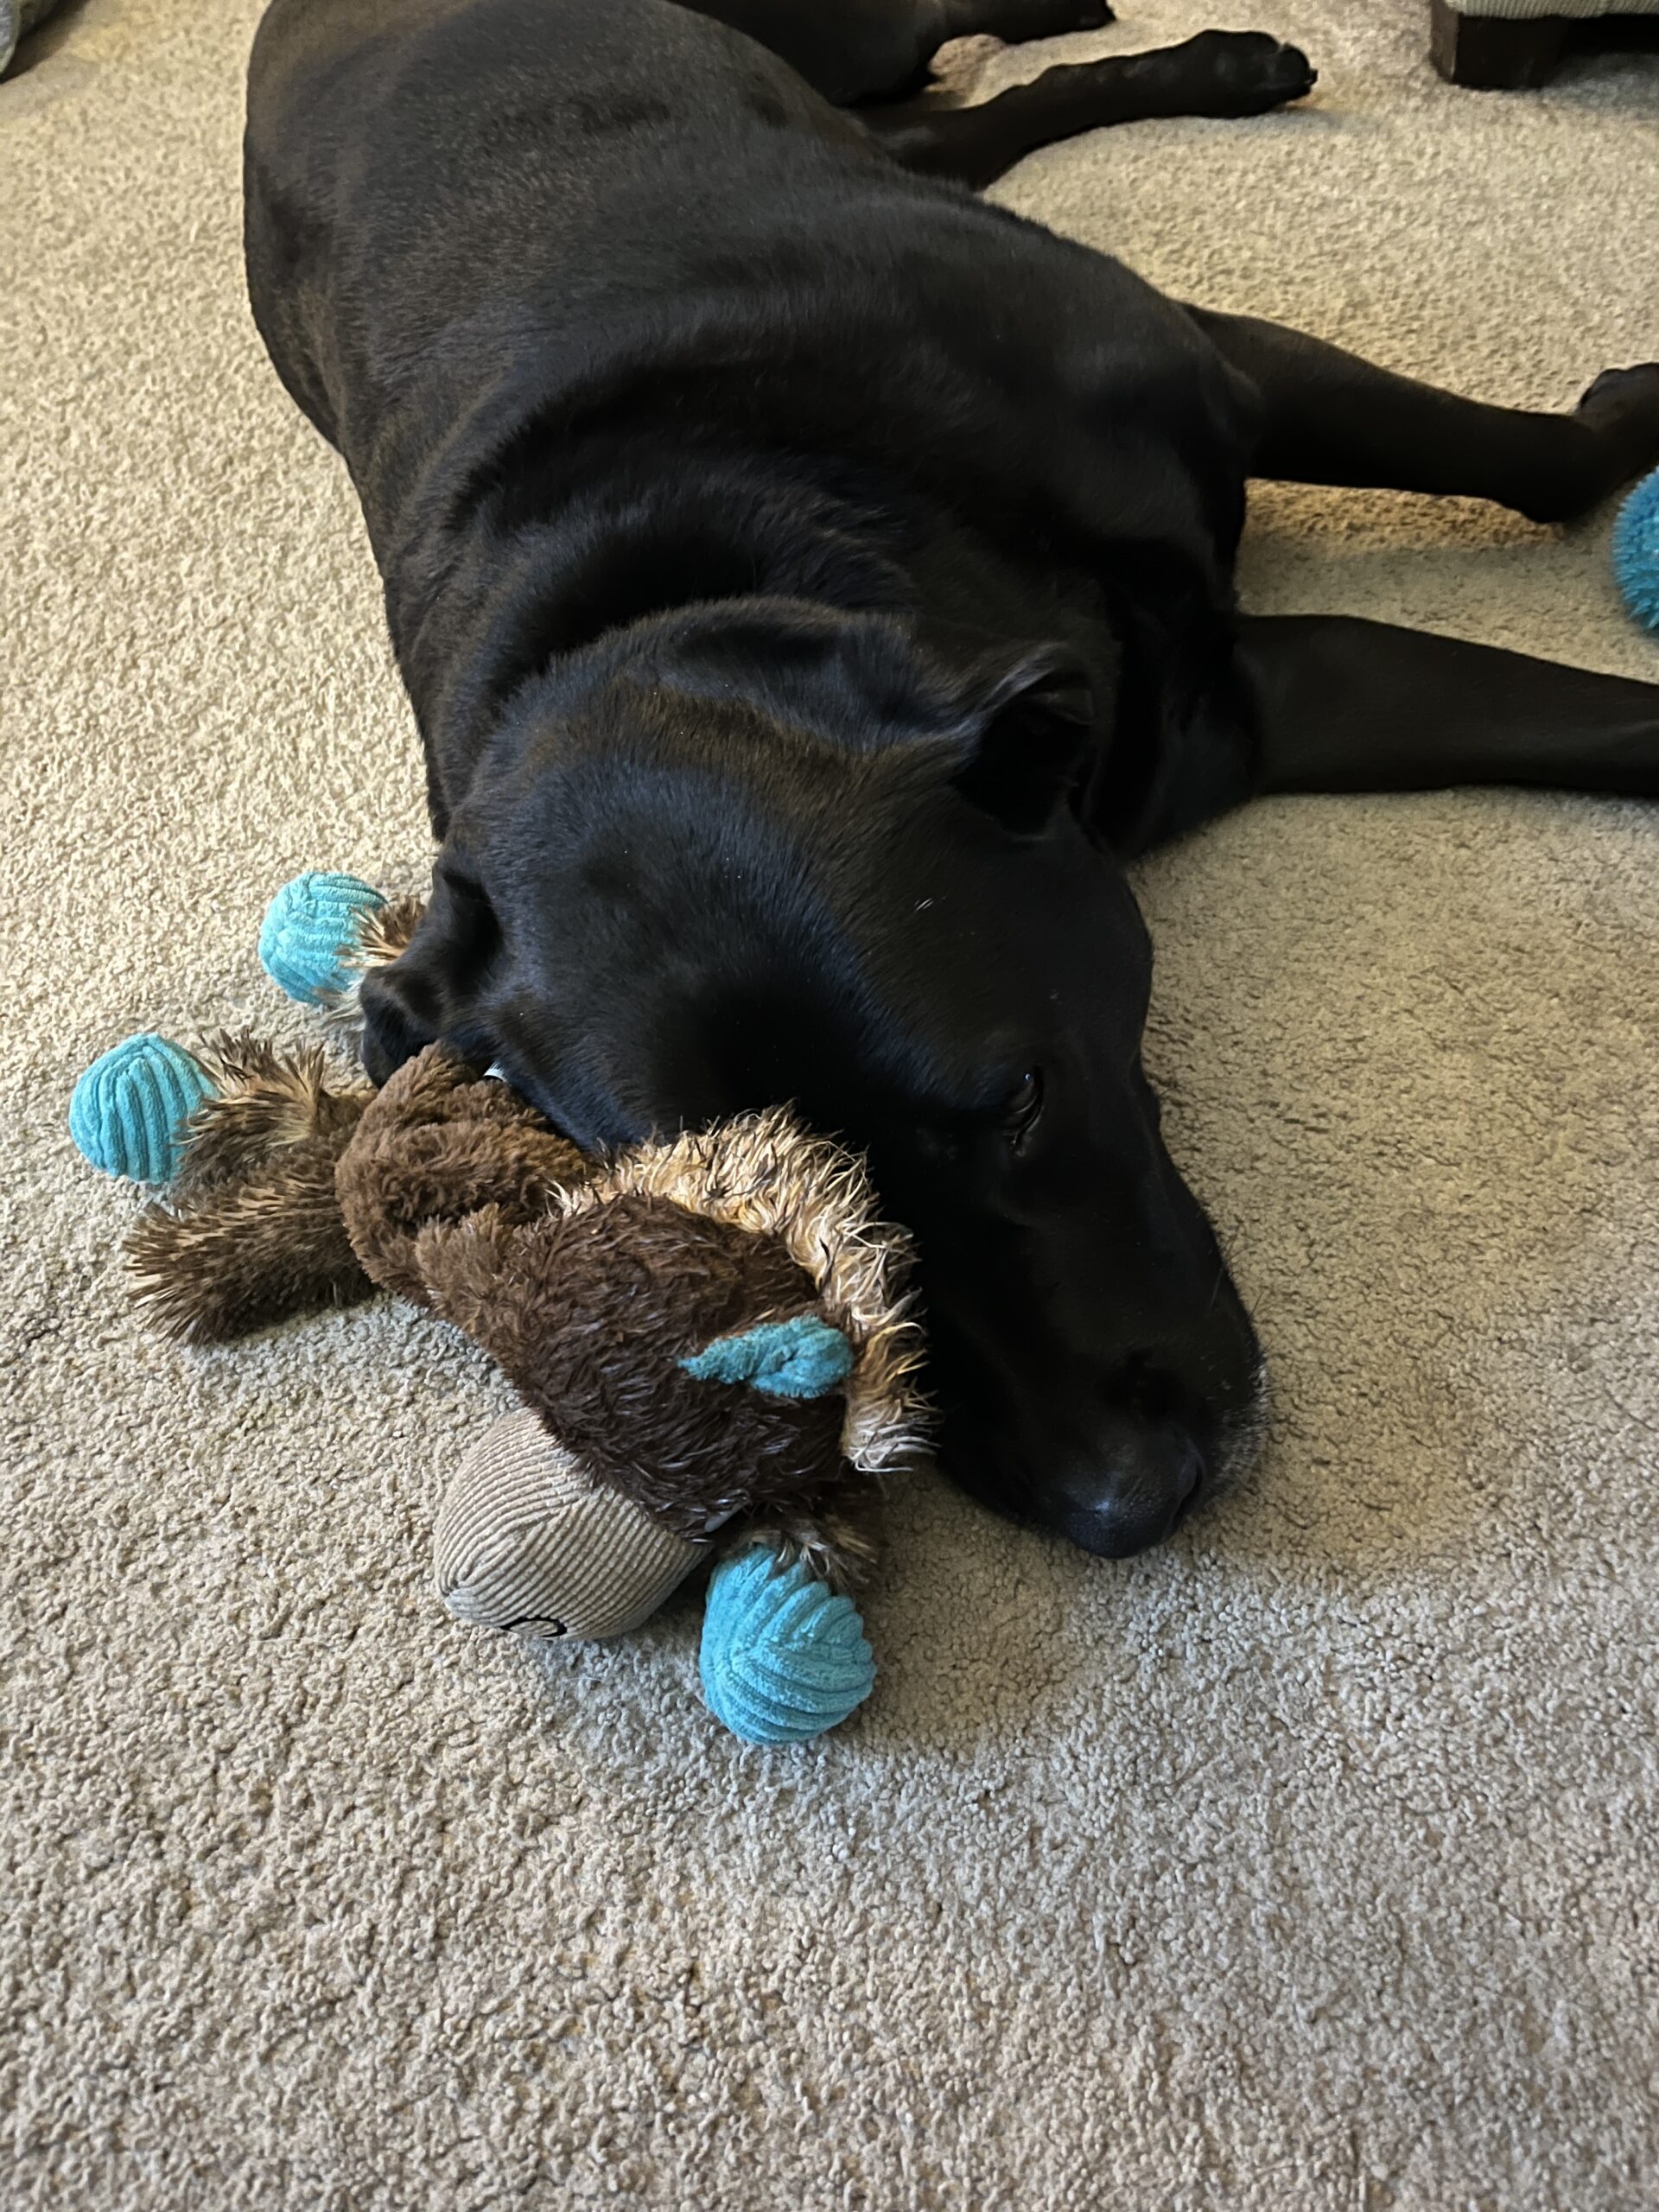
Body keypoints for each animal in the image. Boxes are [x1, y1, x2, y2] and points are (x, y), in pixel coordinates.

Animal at [245, 0, 1659, 1559]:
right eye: (780, 1239)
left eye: (1024, 1100)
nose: (1123, 1502)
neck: (702, 553)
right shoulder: (1237, 710)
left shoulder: (1221, 376)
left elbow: (1537, 462)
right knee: (949, 121)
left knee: (945, 82)